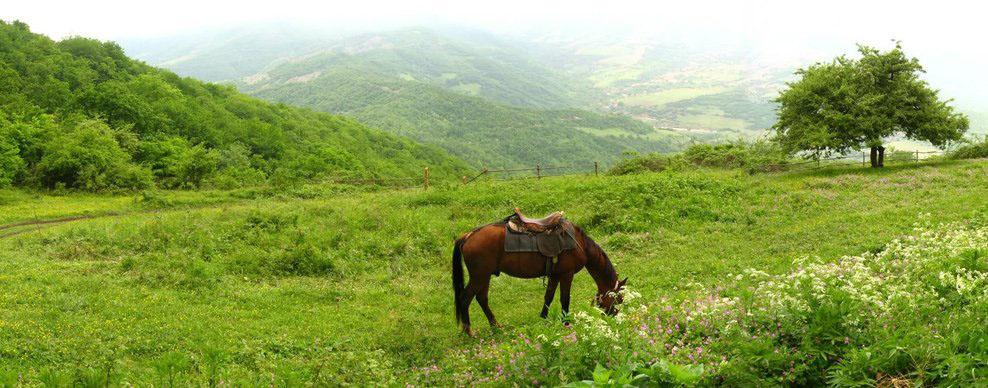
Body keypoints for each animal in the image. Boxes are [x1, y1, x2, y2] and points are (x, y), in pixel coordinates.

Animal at [450, 218, 624, 336]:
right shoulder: (566, 275)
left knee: (482, 299)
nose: (614, 317)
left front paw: (544, 318)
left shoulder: (555, 275)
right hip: (479, 276)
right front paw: (566, 323)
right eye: (618, 299)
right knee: (465, 298)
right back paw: (469, 331)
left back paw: (495, 326)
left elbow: (549, 296)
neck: (579, 243)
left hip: (485, 277)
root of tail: (468, 236)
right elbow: (564, 299)